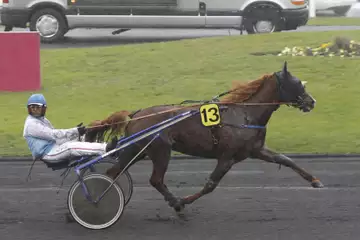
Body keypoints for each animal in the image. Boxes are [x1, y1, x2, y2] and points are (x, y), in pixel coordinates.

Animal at [84, 61, 324, 212]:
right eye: (297, 83)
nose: (311, 102)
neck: (245, 113)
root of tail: (136, 114)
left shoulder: (255, 150)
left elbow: (286, 159)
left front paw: (315, 181)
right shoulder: (227, 157)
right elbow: (210, 185)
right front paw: (184, 200)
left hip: (138, 150)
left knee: (114, 173)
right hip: (160, 150)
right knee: (155, 179)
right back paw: (175, 202)